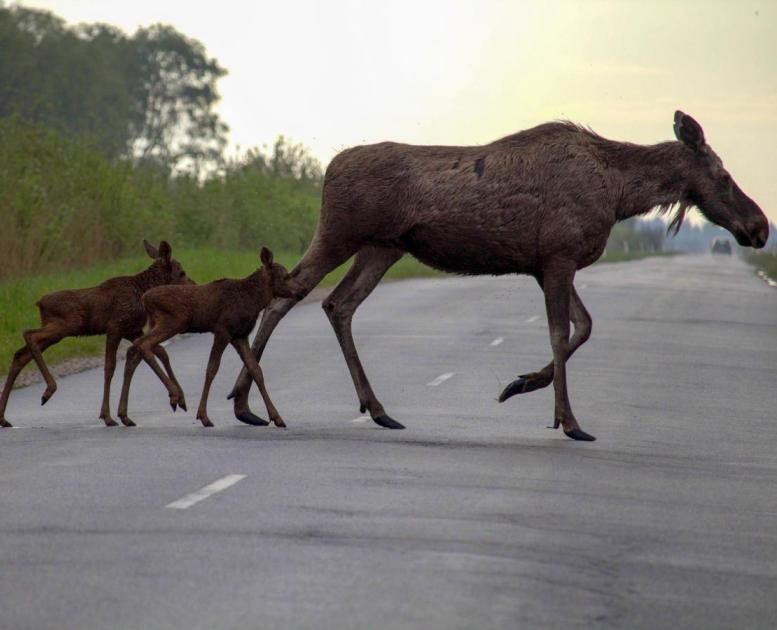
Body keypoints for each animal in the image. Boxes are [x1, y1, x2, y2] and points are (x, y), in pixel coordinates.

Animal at [0, 242, 192, 430]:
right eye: (181, 272)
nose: (193, 285)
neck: (141, 292)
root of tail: (39, 303)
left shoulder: (132, 330)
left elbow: (160, 351)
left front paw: (180, 398)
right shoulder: (115, 328)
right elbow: (110, 368)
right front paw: (107, 416)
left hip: (55, 330)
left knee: (21, 354)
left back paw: (4, 418)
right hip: (64, 326)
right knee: (29, 335)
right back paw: (49, 390)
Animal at [116, 247, 304, 430]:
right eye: (286, 276)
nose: (301, 291)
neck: (254, 301)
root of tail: (144, 298)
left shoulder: (240, 335)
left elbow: (255, 369)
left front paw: (277, 418)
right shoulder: (222, 330)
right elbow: (212, 368)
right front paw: (203, 416)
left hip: (157, 324)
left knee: (135, 349)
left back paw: (125, 414)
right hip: (174, 321)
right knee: (143, 345)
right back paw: (175, 396)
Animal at [227, 111, 768, 442]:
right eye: (722, 175)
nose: (760, 227)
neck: (619, 193)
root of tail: (328, 169)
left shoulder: (547, 264)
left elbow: (584, 326)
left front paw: (520, 384)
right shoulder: (559, 257)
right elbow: (561, 332)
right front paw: (568, 419)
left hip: (384, 248)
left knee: (335, 303)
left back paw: (372, 408)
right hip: (341, 233)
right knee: (288, 295)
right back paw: (246, 403)